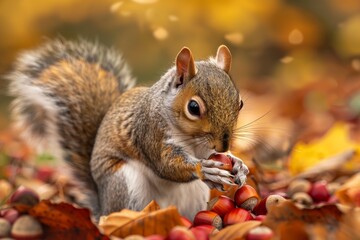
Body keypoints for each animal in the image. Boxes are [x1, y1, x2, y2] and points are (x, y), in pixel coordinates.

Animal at [9, 38, 250, 220]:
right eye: (193, 107)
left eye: (240, 103)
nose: (224, 145)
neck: (193, 140)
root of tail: (102, 208)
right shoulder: (149, 131)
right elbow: (166, 164)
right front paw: (204, 169)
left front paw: (238, 163)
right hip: (125, 184)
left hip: (194, 195)